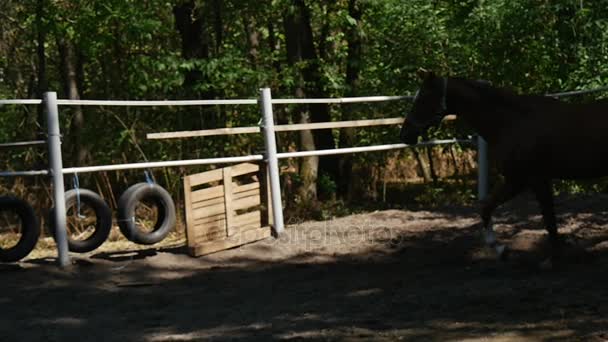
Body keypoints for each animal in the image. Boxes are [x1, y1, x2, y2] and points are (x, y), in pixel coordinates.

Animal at [402, 70, 608, 262]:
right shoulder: (519, 180)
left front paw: (552, 258)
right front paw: (501, 250)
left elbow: (549, 218)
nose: (405, 134)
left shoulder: (527, 180)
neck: (512, 122)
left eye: (423, 98)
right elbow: (487, 208)